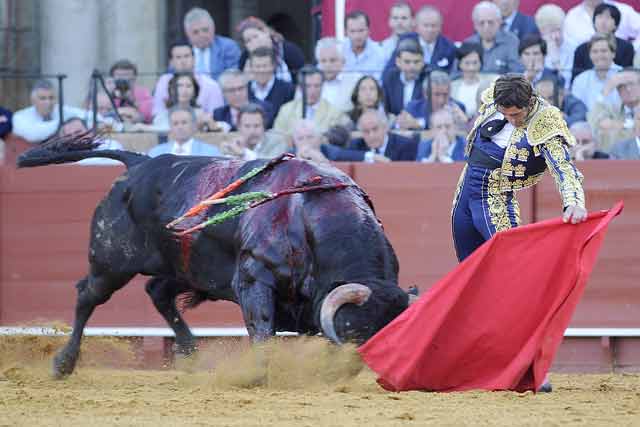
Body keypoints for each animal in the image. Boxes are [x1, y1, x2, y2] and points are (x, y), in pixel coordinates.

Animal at [17, 140, 410, 378]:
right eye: (355, 331)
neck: (310, 218)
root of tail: (140, 164)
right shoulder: (254, 278)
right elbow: (262, 328)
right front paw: (258, 375)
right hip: (112, 262)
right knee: (88, 296)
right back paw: (63, 363)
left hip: (183, 267)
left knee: (157, 293)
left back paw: (192, 355)